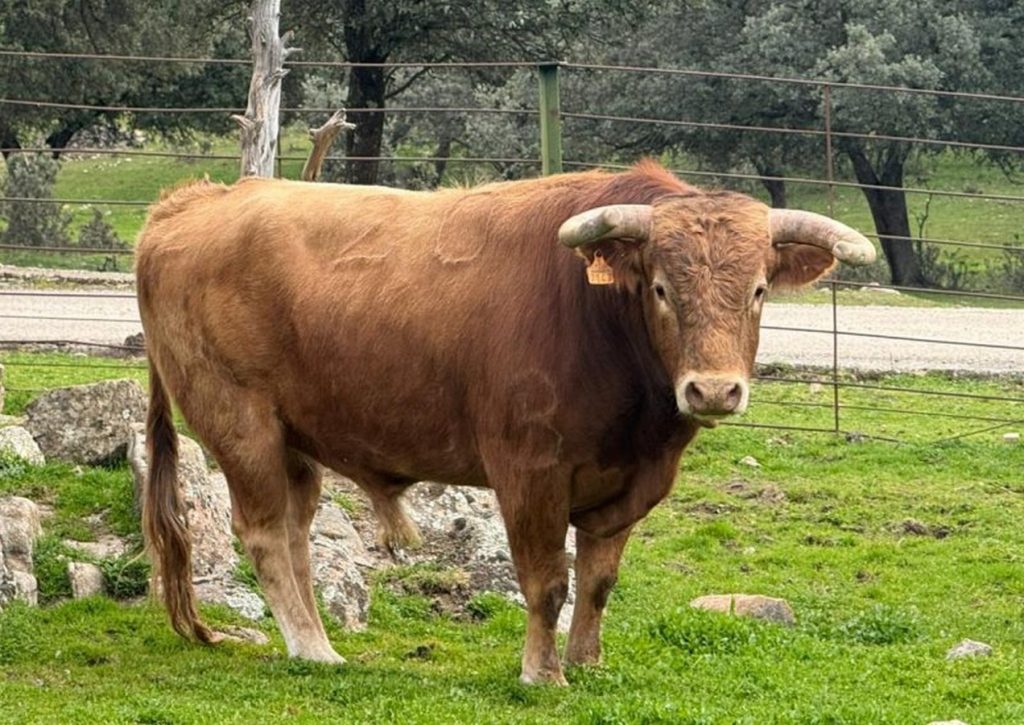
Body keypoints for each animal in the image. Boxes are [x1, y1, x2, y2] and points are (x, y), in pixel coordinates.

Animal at [135, 160, 874, 685]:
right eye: (662, 287)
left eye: (758, 290)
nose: (714, 389)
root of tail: (193, 200)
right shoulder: (529, 471)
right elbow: (546, 583)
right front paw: (542, 673)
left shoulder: (626, 483)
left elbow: (598, 581)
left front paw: (586, 662)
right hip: (242, 422)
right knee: (262, 534)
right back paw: (314, 650)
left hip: (297, 439)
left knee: (293, 534)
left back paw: (314, 640)